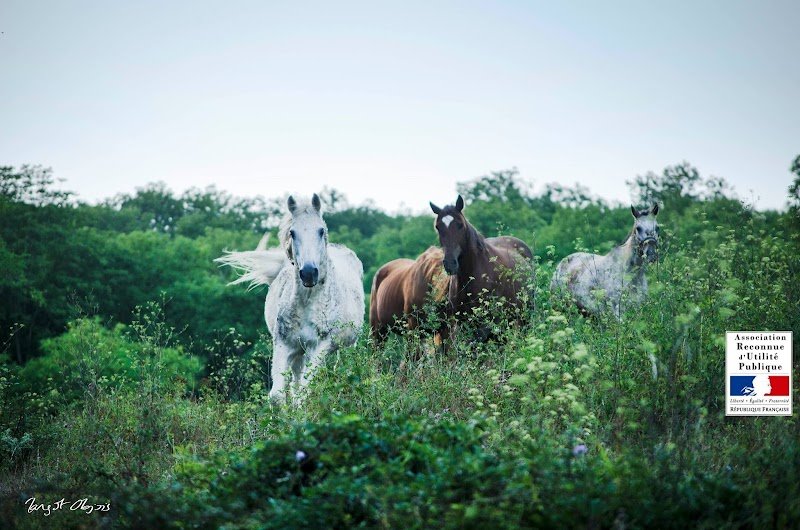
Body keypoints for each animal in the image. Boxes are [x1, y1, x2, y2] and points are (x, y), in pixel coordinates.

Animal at [216, 194, 365, 403]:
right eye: (292, 233)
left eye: (321, 230)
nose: (309, 273)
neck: (308, 304)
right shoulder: (283, 345)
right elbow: (278, 396)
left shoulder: (319, 347)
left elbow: (304, 393)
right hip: (299, 353)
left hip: (346, 346)